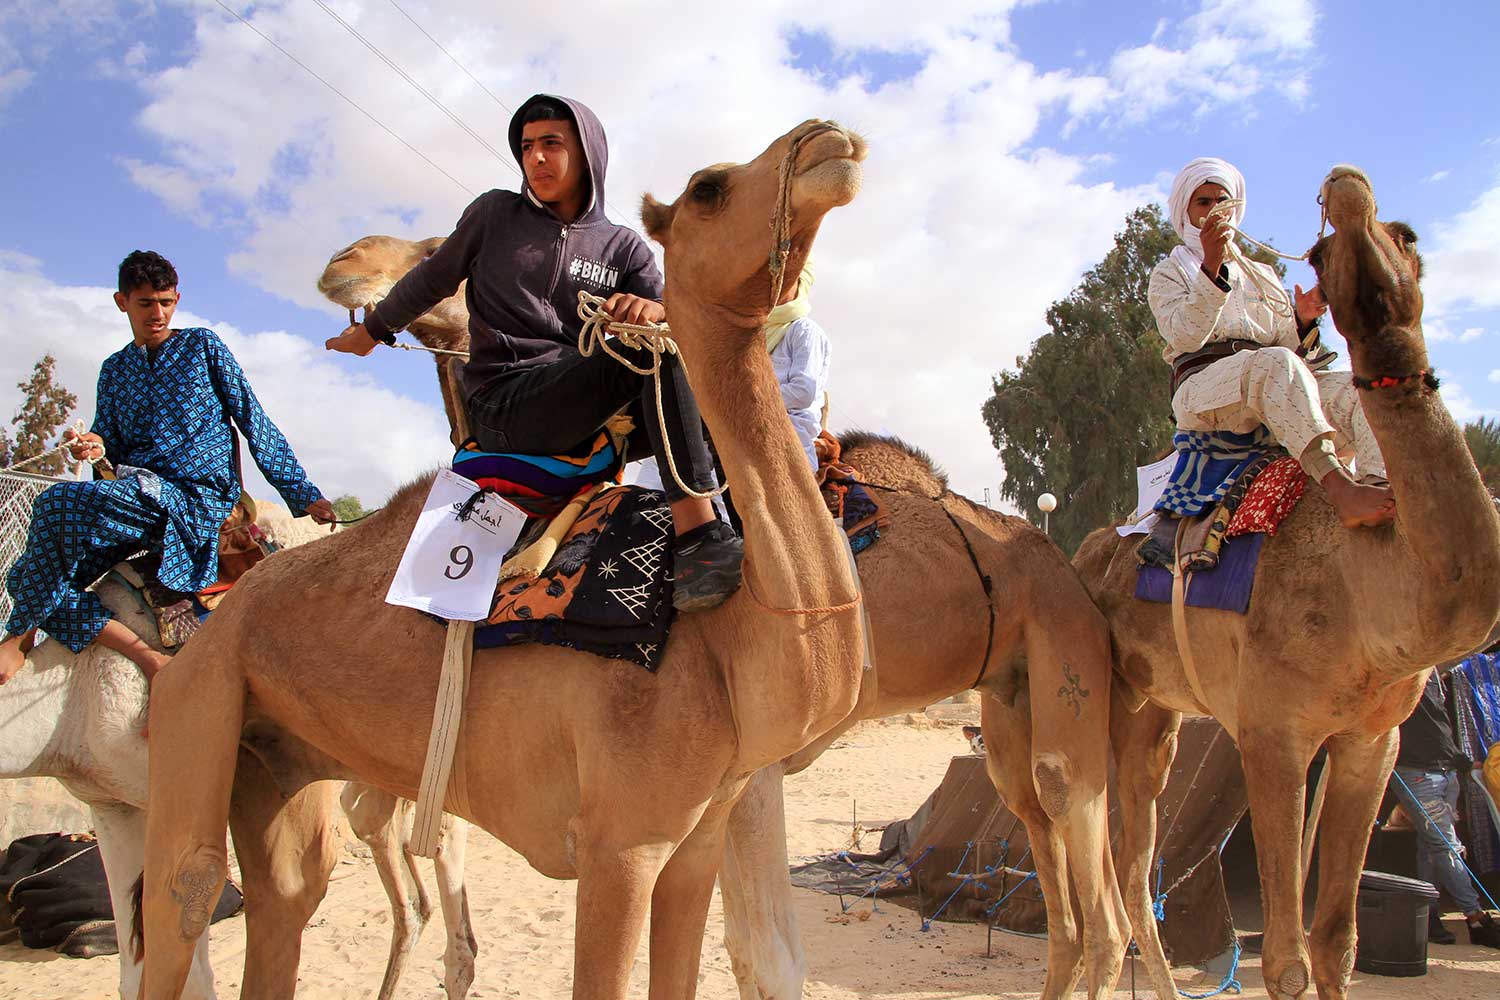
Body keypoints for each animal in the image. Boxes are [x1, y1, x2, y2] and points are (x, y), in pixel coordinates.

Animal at [136, 122, 876, 1000]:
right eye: (708, 187)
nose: (831, 139)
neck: (729, 639)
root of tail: (207, 623)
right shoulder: (620, 843)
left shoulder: (694, 845)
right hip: (199, 701)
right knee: (185, 886)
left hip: (280, 757)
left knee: (290, 887)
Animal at [319, 239, 1128, 1000]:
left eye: (435, 253)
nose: (345, 264)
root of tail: (1060, 561)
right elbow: (746, 952)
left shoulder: (747, 764)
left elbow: (767, 958)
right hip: (1010, 712)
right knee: (1063, 893)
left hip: (1065, 680)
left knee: (1103, 909)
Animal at [1074, 164, 1500, 1000]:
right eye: (1327, 250)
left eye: (1408, 239)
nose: (1346, 184)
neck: (1376, 582)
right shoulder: (1272, 731)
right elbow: (1286, 959)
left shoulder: (1375, 741)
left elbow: (1337, 942)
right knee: (1101, 855)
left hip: (1158, 712)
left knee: (1136, 865)